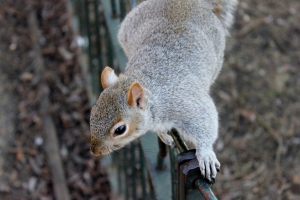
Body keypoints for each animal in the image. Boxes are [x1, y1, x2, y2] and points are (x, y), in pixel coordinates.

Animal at [89, 0, 237, 181]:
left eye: (120, 130)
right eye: (92, 113)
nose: (95, 151)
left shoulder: (186, 103)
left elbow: (205, 122)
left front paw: (205, 154)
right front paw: (164, 135)